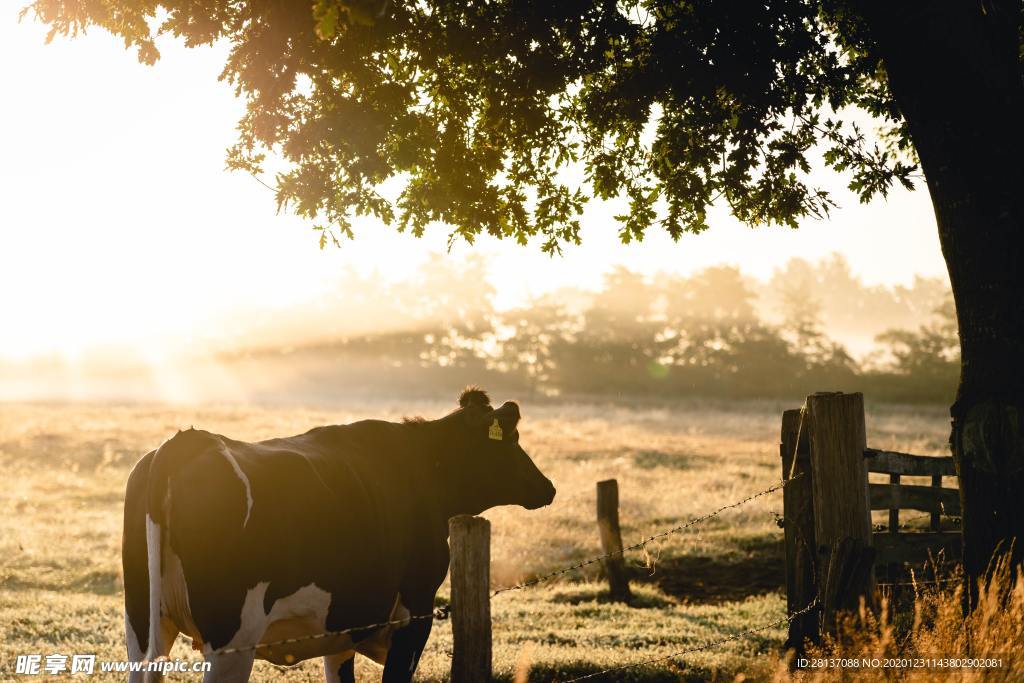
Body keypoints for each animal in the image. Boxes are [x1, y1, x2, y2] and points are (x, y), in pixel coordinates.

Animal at [122, 389, 557, 683]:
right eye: (512, 440)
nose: (548, 487)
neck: (422, 468)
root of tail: (187, 441)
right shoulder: (414, 614)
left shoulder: (343, 625)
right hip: (231, 638)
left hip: (143, 625)